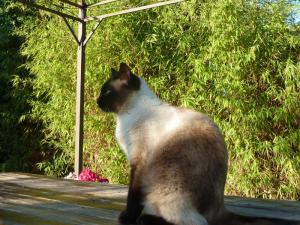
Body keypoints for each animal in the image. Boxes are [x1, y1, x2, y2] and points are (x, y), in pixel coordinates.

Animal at [98, 62, 298, 225]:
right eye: (101, 91)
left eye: (106, 92)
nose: (97, 101)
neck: (125, 115)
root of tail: (219, 209)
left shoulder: (138, 163)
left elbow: (133, 195)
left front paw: (127, 218)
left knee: (197, 222)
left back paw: (145, 219)